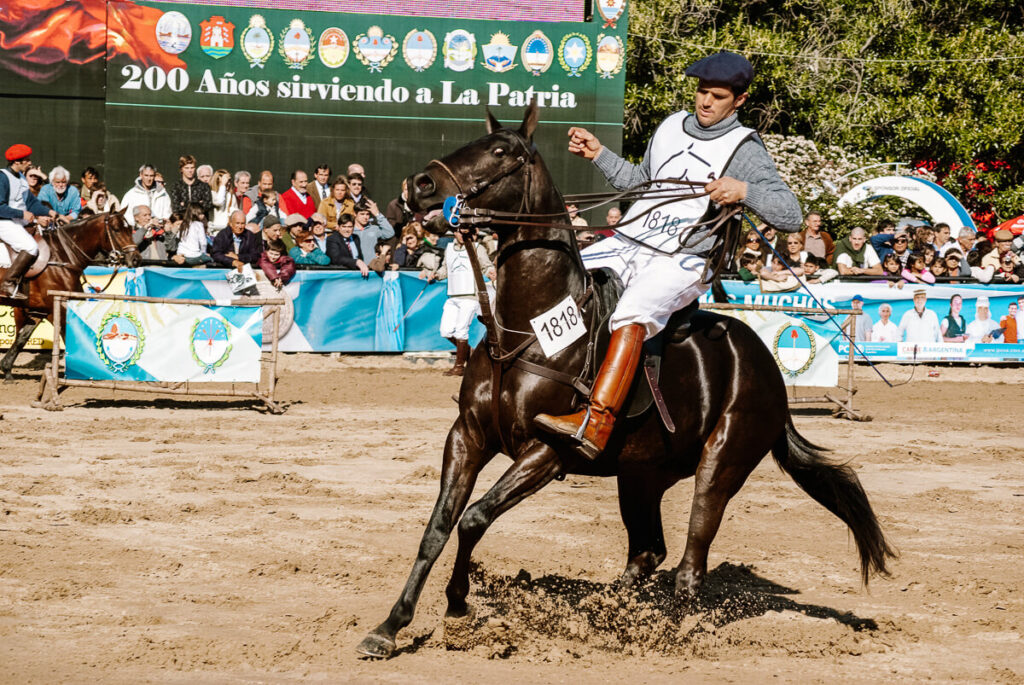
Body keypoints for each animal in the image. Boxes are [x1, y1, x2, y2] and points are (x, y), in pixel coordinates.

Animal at [0, 208, 140, 378]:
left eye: (130, 229)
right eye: (116, 229)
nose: (136, 259)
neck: (62, 256)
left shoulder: (39, 310)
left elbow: (22, 337)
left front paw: (7, 369)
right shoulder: (57, 308)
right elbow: (68, 336)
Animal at [354, 105, 897, 655]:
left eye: (502, 152)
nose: (420, 185)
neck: (526, 331)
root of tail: (765, 365)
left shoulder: (546, 452)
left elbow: (474, 519)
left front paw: (459, 607)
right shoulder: (467, 436)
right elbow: (439, 526)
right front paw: (390, 625)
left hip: (721, 463)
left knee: (691, 561)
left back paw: (668, 631)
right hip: (642, 474)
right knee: (648, 551)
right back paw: (609, 611)